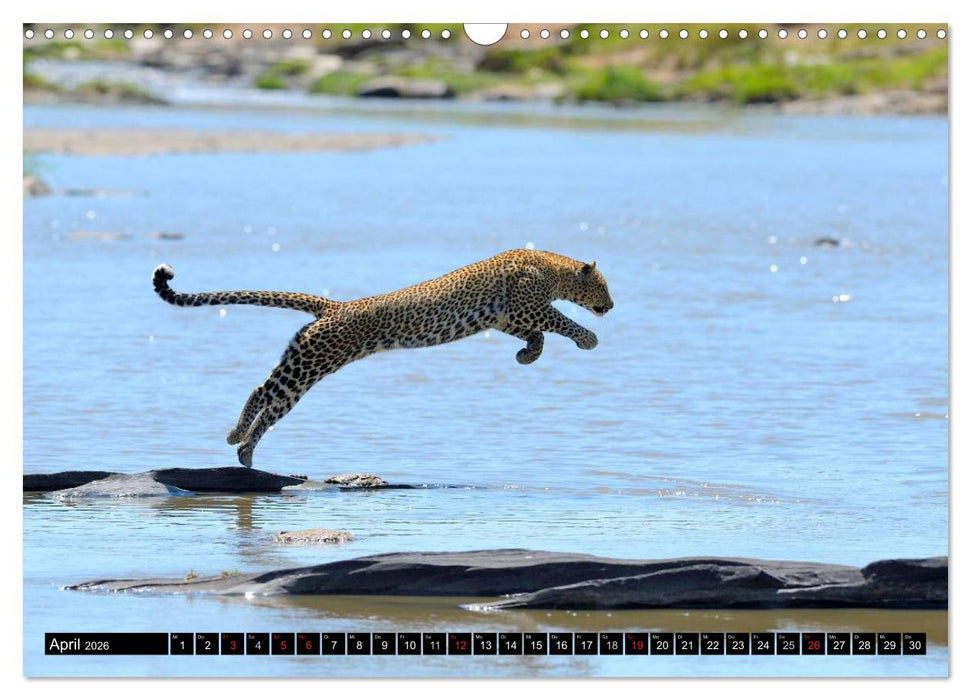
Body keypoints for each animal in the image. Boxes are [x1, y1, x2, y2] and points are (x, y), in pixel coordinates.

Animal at [153, 249, 613, 468]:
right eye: (604, 287)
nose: (611, 306)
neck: (554, 268)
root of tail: (335, 306)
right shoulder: (526, 307)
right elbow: (560, 321)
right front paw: (588, 339)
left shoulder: (508, 317)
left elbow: (538, 336)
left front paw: (526, 355)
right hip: (311, 364)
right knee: (266, 398)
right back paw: (241, 442)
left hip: (301, 361)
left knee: (266, 396)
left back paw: (240, 444)